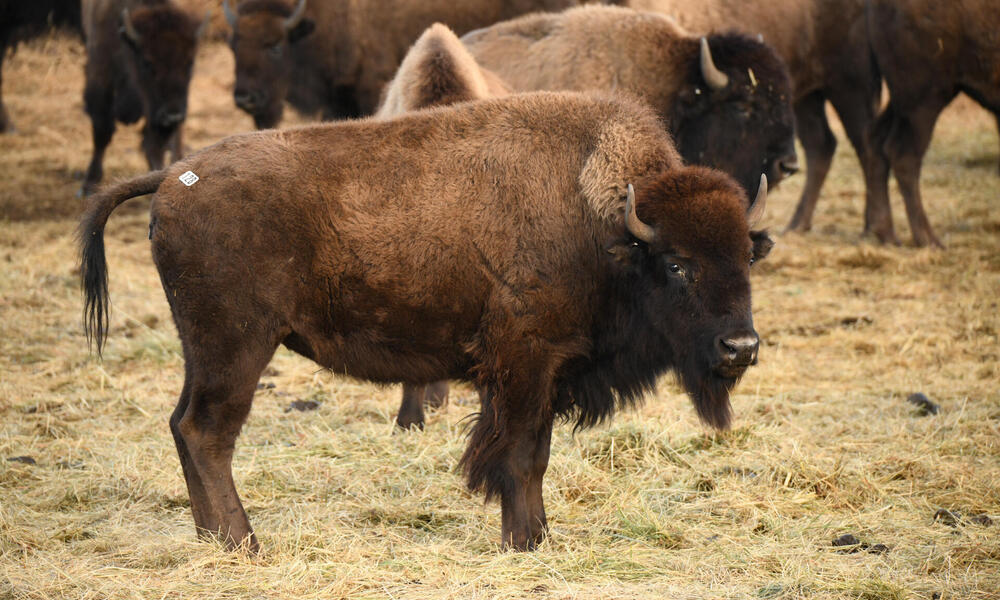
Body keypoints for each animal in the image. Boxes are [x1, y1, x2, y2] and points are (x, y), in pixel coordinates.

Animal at [81, 0, 207, 195]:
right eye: (147, 62)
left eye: (190, 62)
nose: (173, 116)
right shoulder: (100, 81)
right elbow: (102, 133)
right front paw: (89, 184)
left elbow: (155, 145)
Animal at [84, 90, 772, 552]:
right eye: (677, 264)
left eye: (746, 255)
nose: (740, 347)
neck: (607, 227)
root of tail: (176, 177)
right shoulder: (525, 364)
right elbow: (520, 456)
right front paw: (524, 542)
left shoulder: (540, 377)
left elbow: (534, 454)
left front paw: (537, 537)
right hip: (237, 347)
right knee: (208, 432)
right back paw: (246, 543)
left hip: (202, 350)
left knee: (183, 425)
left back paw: (215, 540)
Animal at [868, 0, 1000, 248]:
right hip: (925, 98)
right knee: (903, 155)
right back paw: (928, 239)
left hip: (904, 100)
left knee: (876, 141)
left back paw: (888, 235)